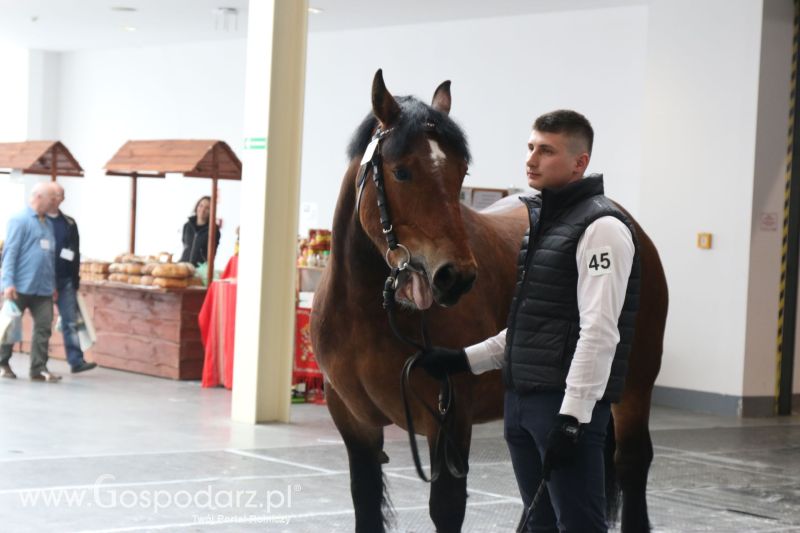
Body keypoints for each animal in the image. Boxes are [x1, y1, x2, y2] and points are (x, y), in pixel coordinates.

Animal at [310, 68, 664, 528]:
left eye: (461, 173)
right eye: (401, 172)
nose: (455, 277)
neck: (363, 314)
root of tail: (632, 229)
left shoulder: (450, 423)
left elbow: (446, 509)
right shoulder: (355, 426)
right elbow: (365, 504)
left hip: (634, 389)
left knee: (631, 464)